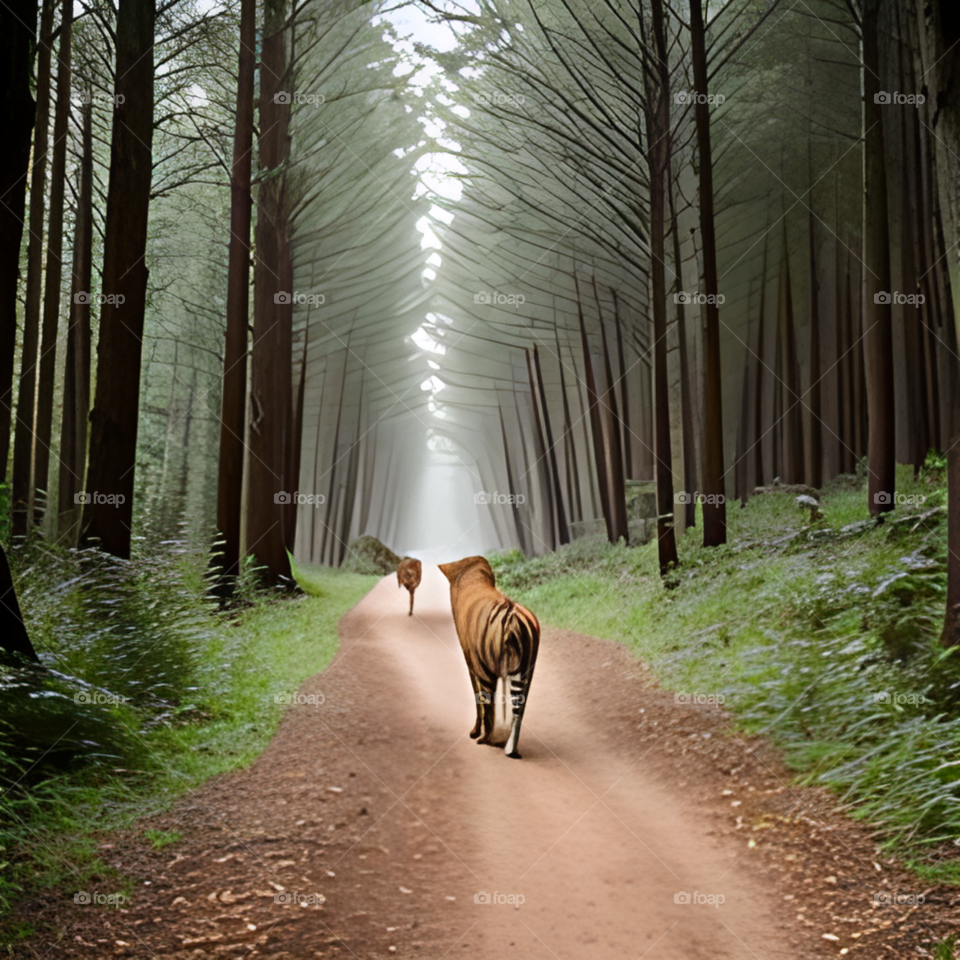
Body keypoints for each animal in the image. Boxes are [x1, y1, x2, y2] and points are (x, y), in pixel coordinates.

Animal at [438, 556, 540, 759]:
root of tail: (511, 615)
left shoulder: (471, 662)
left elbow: (480, 699)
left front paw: (476, 733)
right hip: (526, 670)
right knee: (519, 708)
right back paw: (511, 748)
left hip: (487, 669)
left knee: (490, 703)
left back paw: (485, 739)